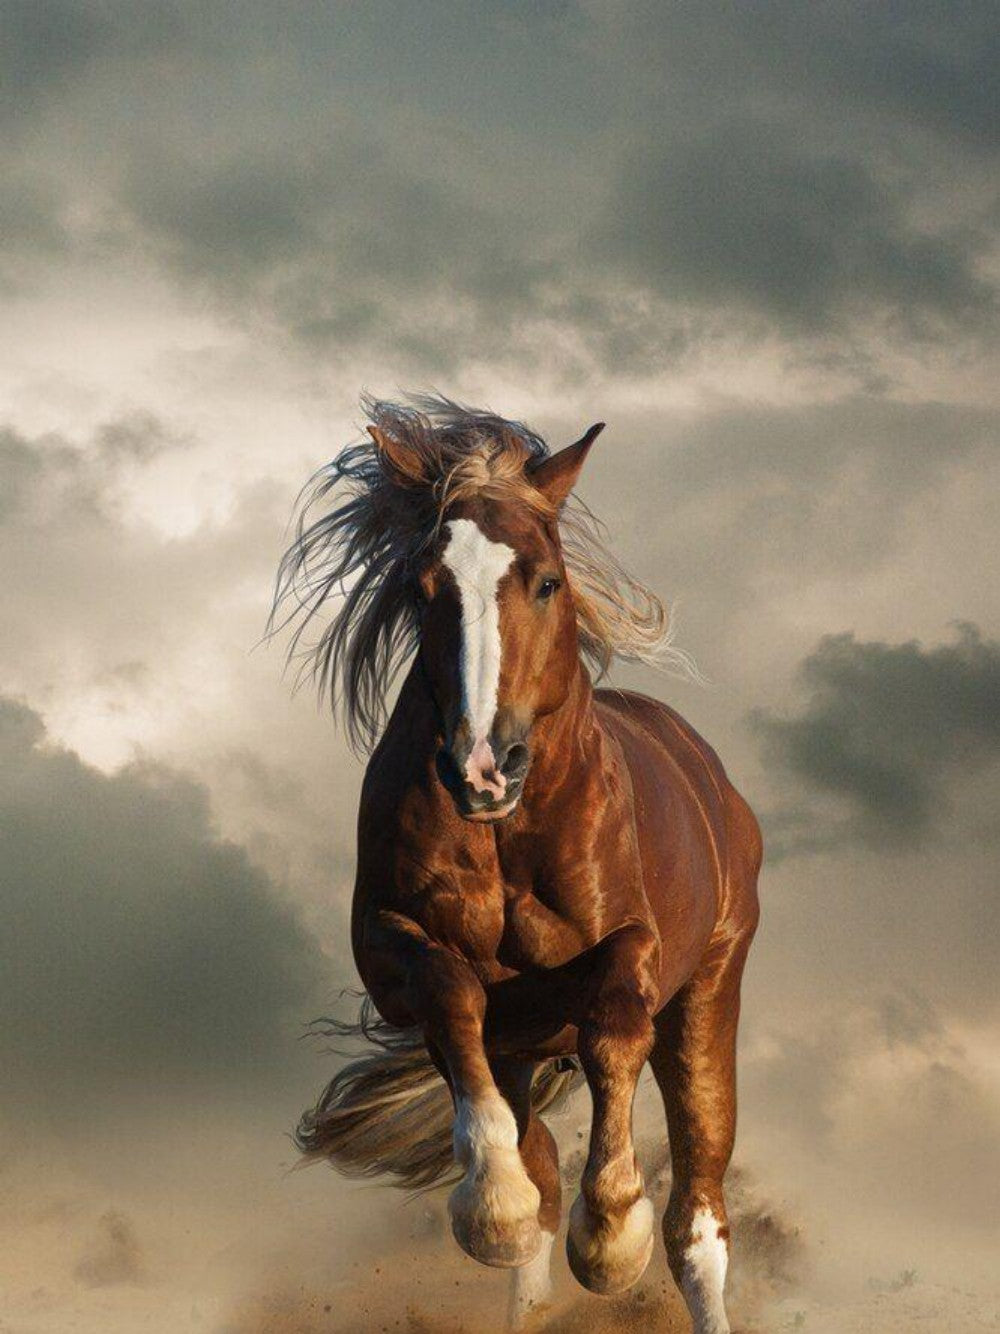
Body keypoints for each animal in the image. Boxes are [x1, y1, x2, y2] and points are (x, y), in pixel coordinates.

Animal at [271, 395, 762, 1333]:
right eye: (423, 589)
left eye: (546, 581)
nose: (483, 766)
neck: (508, 835)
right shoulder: (395, 949)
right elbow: (452, 994)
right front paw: (491, 1207)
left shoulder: (634, 948)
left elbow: (614, 1024)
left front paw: (610, 1237)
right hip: (523, 1051)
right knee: (536, 1174)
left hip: (711, 993)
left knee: (699, 1223)